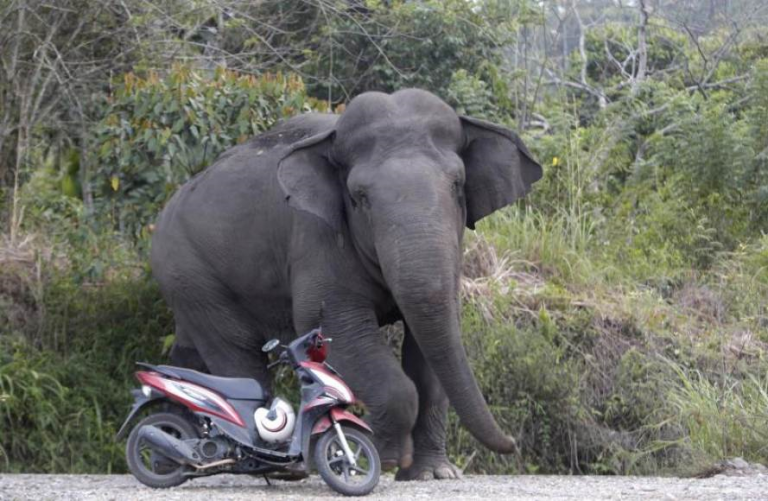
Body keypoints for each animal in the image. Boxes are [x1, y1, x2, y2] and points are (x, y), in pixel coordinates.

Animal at [150, 88, 542, 480]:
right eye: (360, 197)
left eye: (457, 184)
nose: (512, 444)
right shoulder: (315, 236)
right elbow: (333, 324)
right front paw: (383, 459)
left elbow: (431, 339)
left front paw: (432, 473)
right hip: (191, 275)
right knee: (238, 359)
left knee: (193, 353)